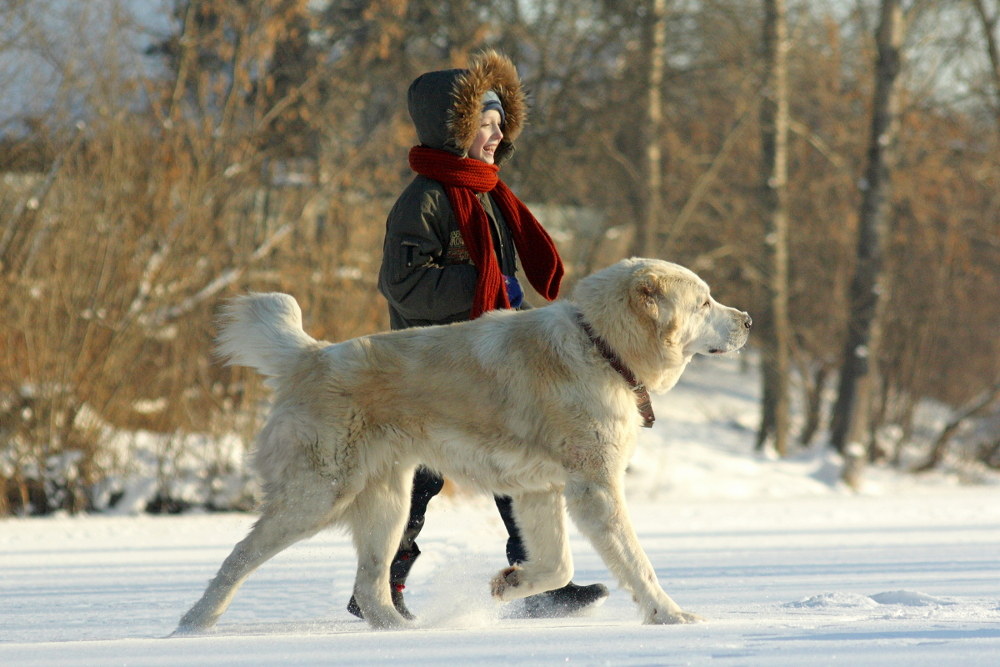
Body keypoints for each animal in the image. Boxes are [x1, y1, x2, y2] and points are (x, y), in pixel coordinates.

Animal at [176, 256, 752, 632]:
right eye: (704, 302)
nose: (748, 319)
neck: (601, 348)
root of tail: (310, 355)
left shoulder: (539, 491)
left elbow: (557, 565)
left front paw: (509, 586)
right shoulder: (594, 489)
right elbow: (637, 562)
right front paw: (671, 616)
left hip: (388, 505)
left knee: (371, 585)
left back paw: (407, 634)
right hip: (318, 496)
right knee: (239, 557)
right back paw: (194, 623)